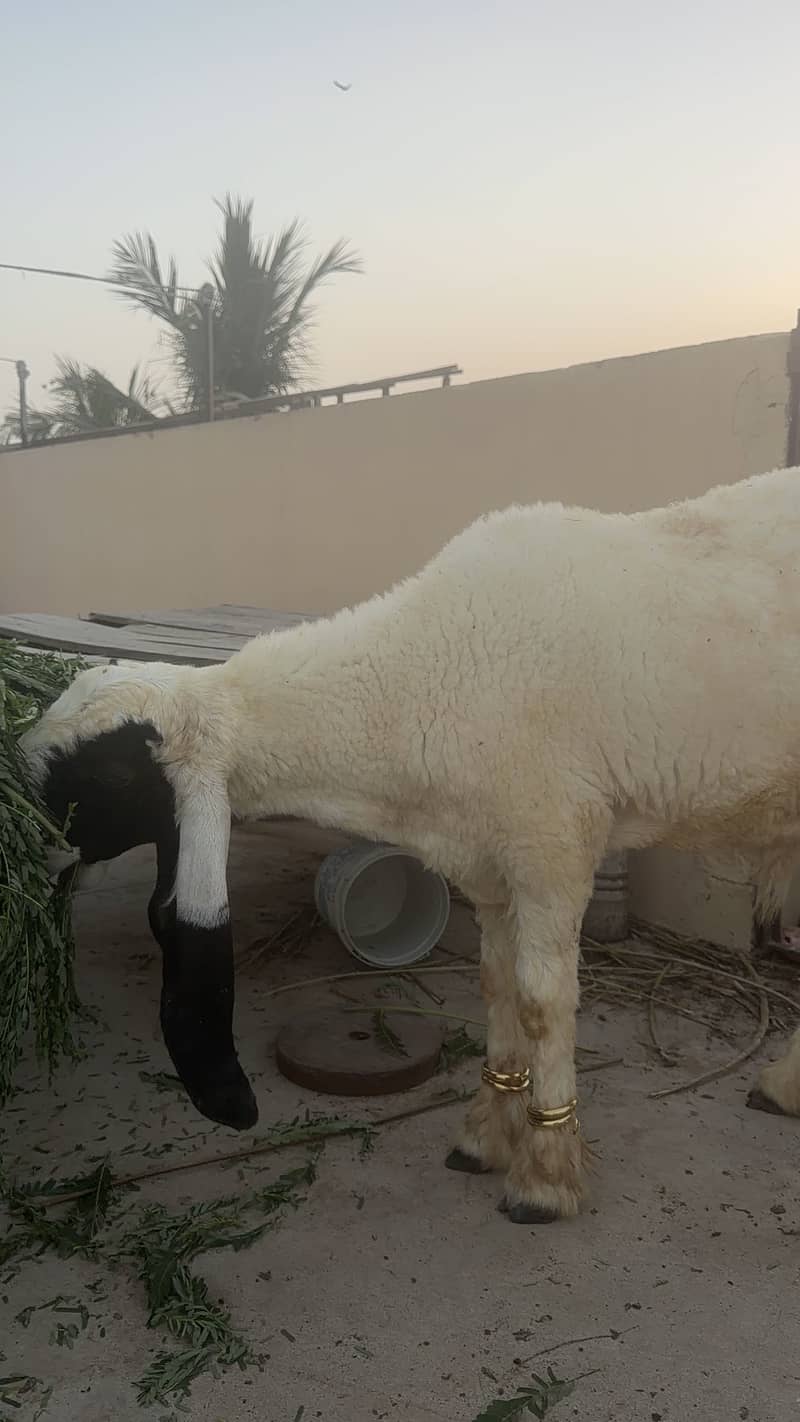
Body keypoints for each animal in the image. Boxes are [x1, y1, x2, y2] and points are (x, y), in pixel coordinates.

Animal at [20, 464, 800, 1225]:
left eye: (113, 772)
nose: (29, 845)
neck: (418, 671)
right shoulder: (487, 863)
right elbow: (495, 985)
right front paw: (484, 1136)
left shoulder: (552, 843)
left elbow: (542, 1001)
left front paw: (544, 1175)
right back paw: (783, 1087)